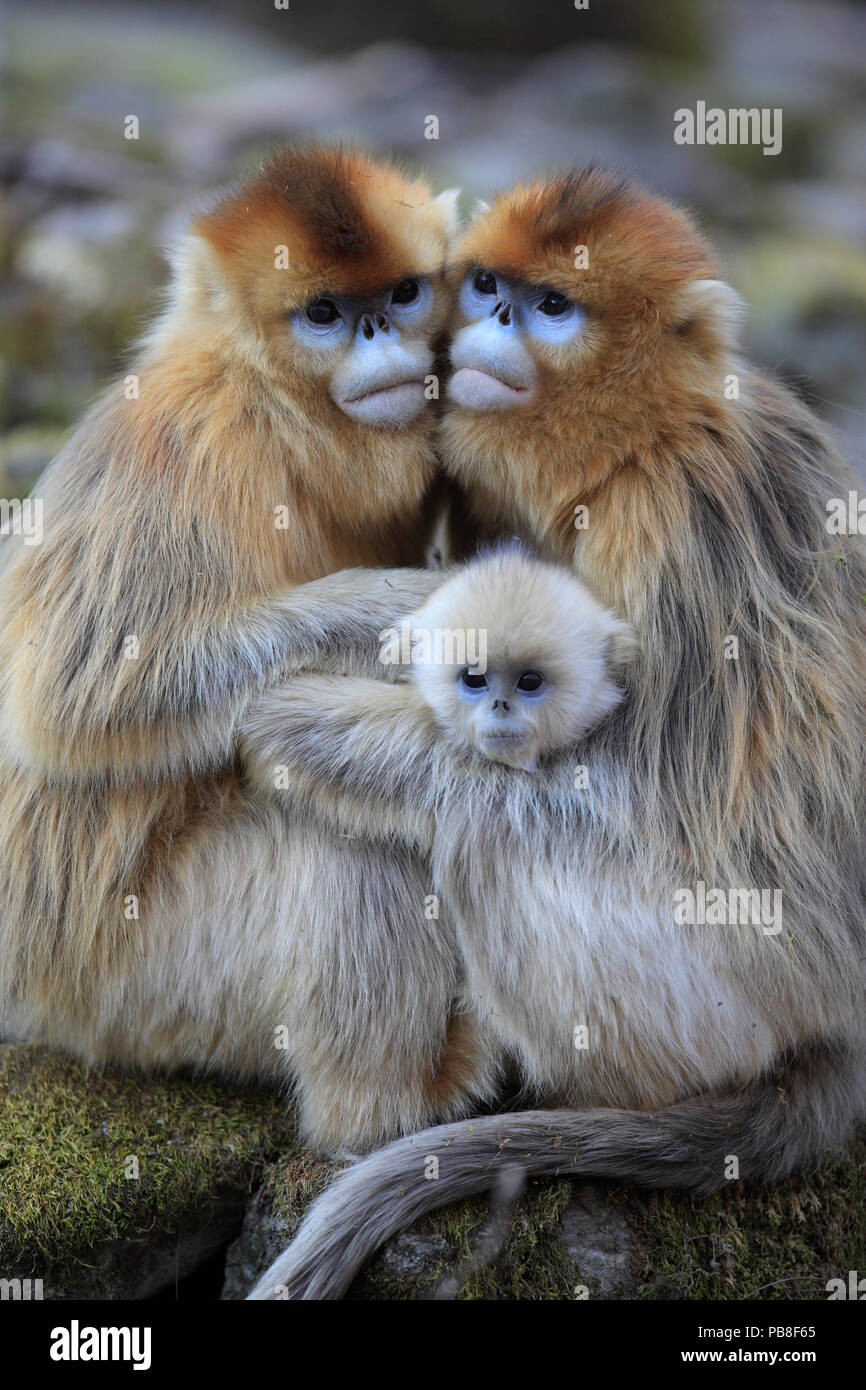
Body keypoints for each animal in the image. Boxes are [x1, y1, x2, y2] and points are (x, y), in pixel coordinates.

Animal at [0, 146, 492, 1150]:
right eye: (324, 313)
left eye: (404, 291)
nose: (379, 331)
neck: (282, 411)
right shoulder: (190, 440)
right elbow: (68, 696)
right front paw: (401, 608)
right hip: (133, 983)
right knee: (347, 843)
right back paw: (395, 1107)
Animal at [246, 168, 866, 1295]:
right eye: (488, 285)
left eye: (550, 305)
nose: (489, 322)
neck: (638, 441)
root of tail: (838, 1021)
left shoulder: (678, 521)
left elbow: (637, 790)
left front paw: (294, 718)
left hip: (731, 1002)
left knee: (490, 828)